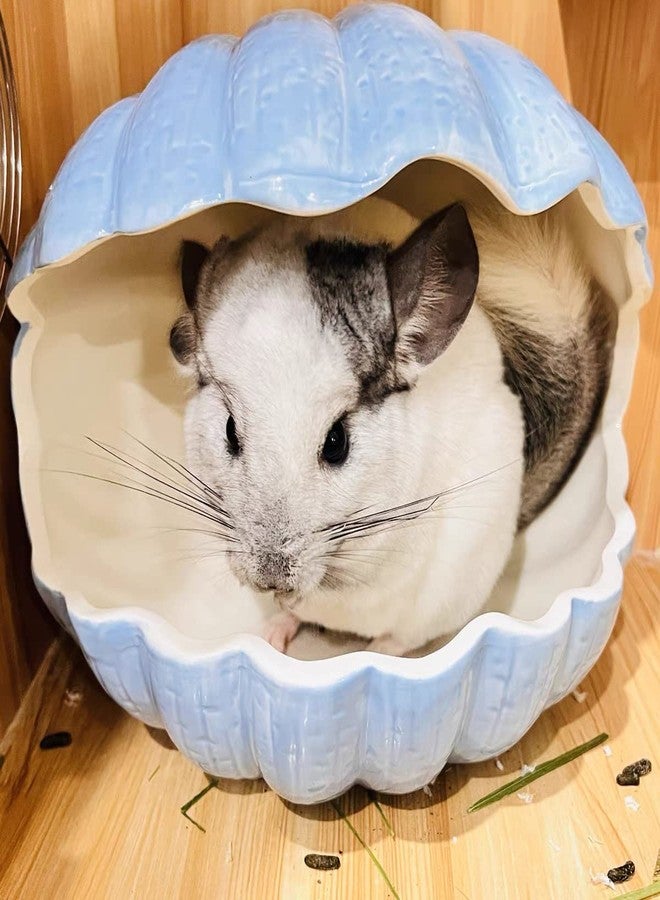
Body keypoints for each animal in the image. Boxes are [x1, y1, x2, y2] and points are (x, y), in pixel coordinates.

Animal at [168, 196, 615, 656]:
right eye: (229, 431)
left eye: (337, 442)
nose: (270, 579)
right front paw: (281, 602)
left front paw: (294, 594)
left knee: (398, 639)